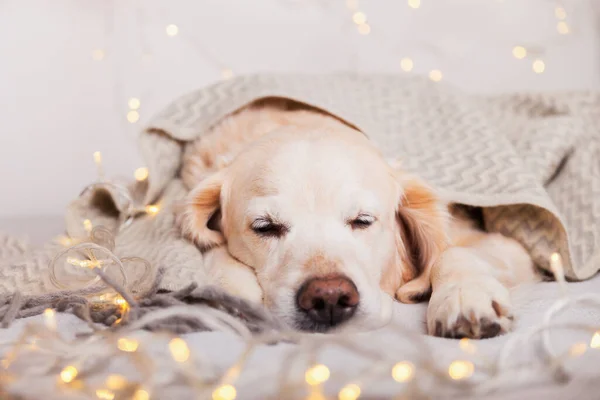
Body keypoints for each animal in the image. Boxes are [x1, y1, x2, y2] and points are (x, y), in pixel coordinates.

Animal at [175, 98, 540, 336]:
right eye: (264, 227)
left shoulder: (510, 250)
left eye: (363, 221)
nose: (328, 298)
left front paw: (464, 297)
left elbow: (451, 252)